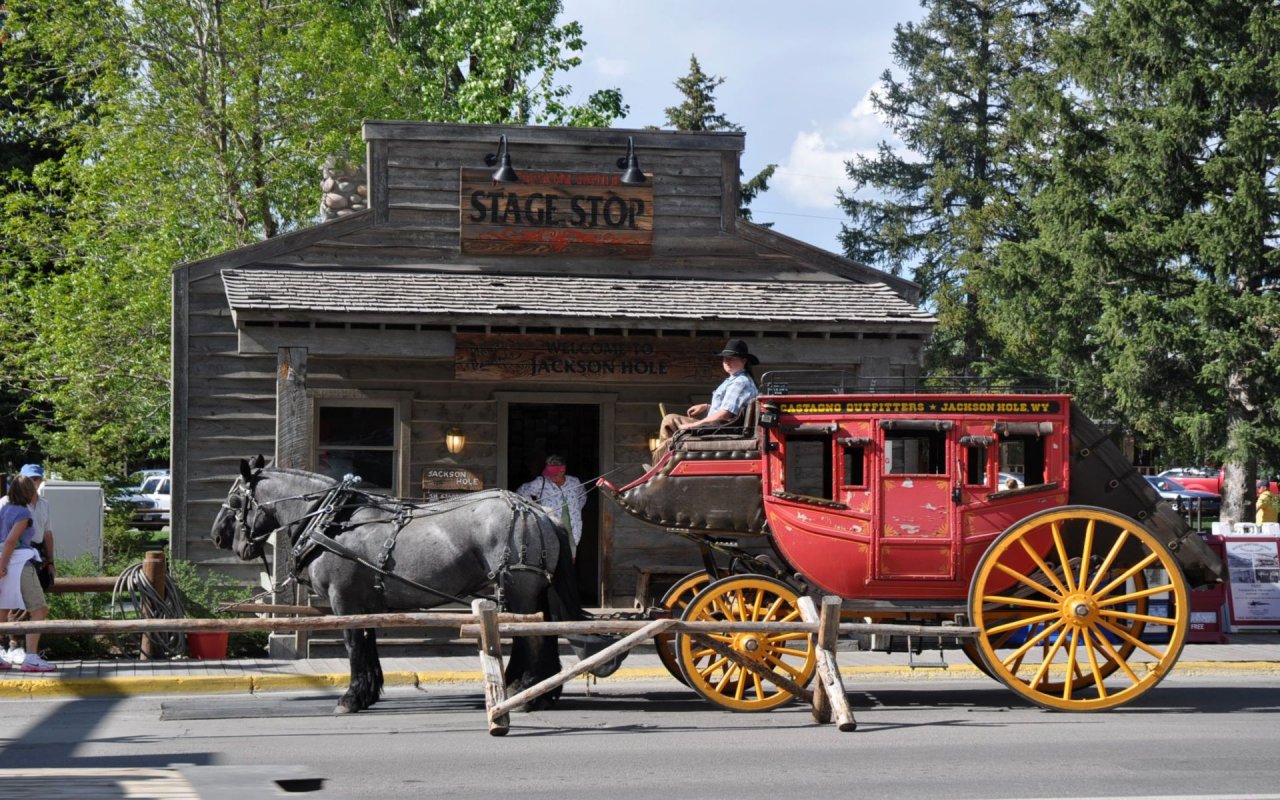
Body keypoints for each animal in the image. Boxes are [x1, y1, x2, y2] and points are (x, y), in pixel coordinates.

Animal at [212, 455, 583, 711]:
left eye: (235, 500)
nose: (218, 536)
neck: (331, 522)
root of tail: (539, 512)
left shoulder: (344, 600)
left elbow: (354, 646)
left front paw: (351, 697)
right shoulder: (364, 603)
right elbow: (368, 644)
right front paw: (368, 692)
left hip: (519, 589)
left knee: (532, 637)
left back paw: (526, 692)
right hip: (532, 591)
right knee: (545, 633)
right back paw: (541, 691)